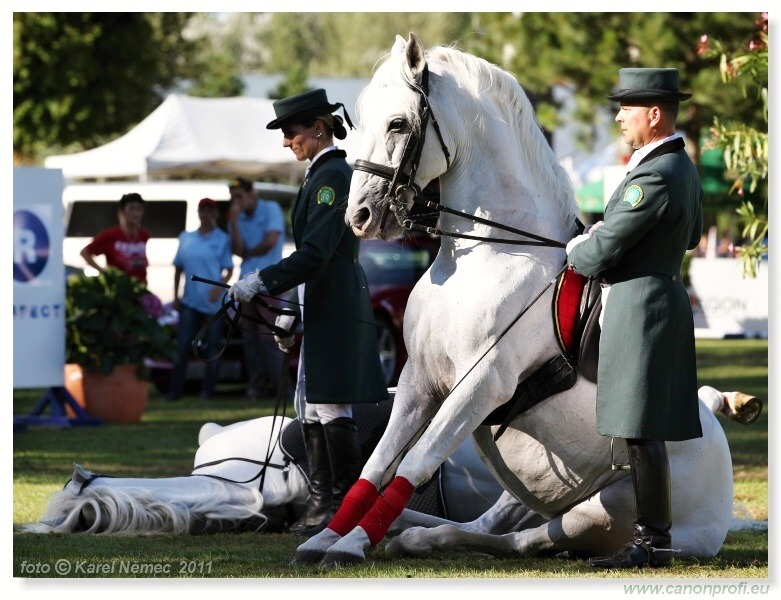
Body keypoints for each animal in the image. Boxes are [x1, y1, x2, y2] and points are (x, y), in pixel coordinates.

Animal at [290, 32, 756, 568]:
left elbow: (417, 462)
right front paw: (327, 536)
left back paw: (419, 537)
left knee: (525, 539)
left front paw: (349, 544)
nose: (360, 216)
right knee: (486, 523)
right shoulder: (418, 380)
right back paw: (411, 528)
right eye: (360, 121)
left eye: (398, 123)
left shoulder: (480, 386)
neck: (488, 254)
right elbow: (378, 464)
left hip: (597, 510)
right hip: (526, 494)